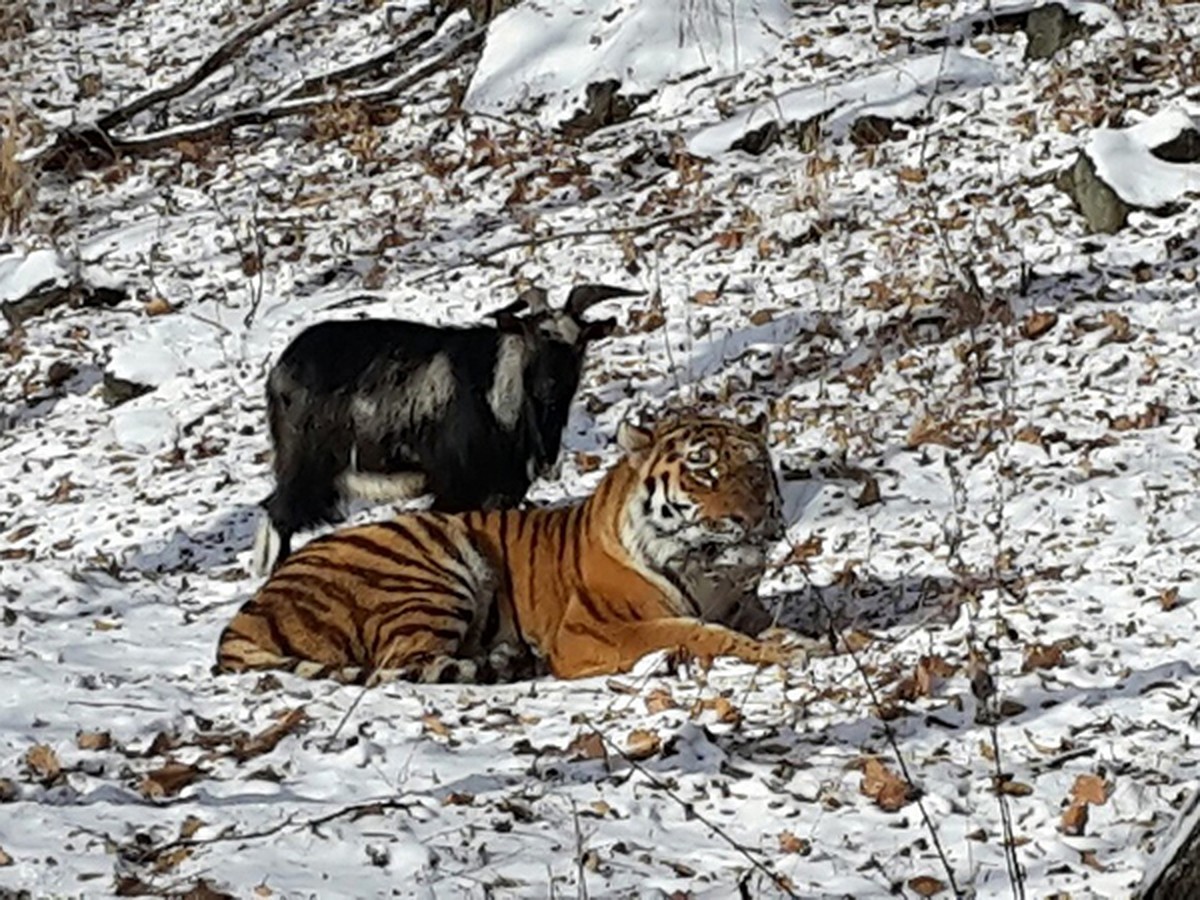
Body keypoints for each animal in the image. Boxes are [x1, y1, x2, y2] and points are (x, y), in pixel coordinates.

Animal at [216, 415, 801, 681]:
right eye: (704, 471)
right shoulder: (591, 630)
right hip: (429, 570)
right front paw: (787, 652)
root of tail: (246, 615)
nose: (752, 519)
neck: (709, 573)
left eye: (754, 471)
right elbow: (696, 633)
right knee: (406, 662)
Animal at [250, 285, 638, 573]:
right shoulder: (454, 489)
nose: (548, 388)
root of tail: (281, 369)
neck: (500, 396)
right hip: (305, 467)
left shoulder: (501, 491)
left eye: (579, 343)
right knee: (279, 516)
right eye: (531, 340)